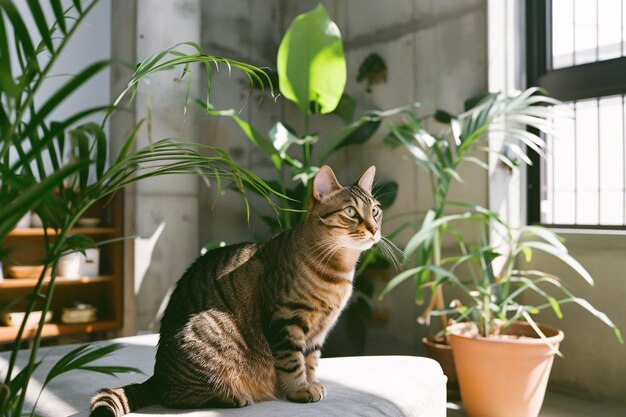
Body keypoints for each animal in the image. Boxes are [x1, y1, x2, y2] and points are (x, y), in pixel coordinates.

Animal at [90, 164, 382, 414]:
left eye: (376, 211)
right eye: (351, 212)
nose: (375, 228)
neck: (338, 270)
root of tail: (157, 375)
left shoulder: (318, 331)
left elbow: (311, 361)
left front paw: (312, 383)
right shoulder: (286, 321)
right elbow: (293, 363)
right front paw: (300, 390)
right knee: (175, 397)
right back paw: (232, 397)